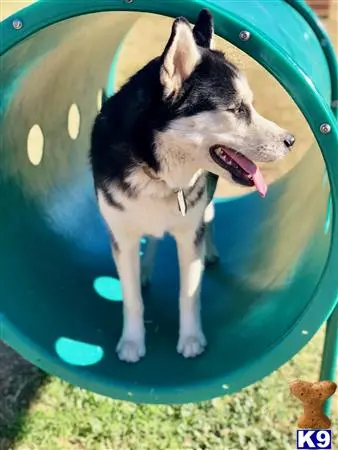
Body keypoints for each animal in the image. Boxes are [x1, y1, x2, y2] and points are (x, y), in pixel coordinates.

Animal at [90, 9, 296, 362]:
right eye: (238, 108)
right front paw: (132, 341)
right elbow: (131, 298)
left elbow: (189, 292)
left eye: (250, 105)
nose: (290, 141)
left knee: (208, 220)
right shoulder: (122, 236)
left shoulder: (189, 233)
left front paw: (191, 340)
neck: (154, 170)